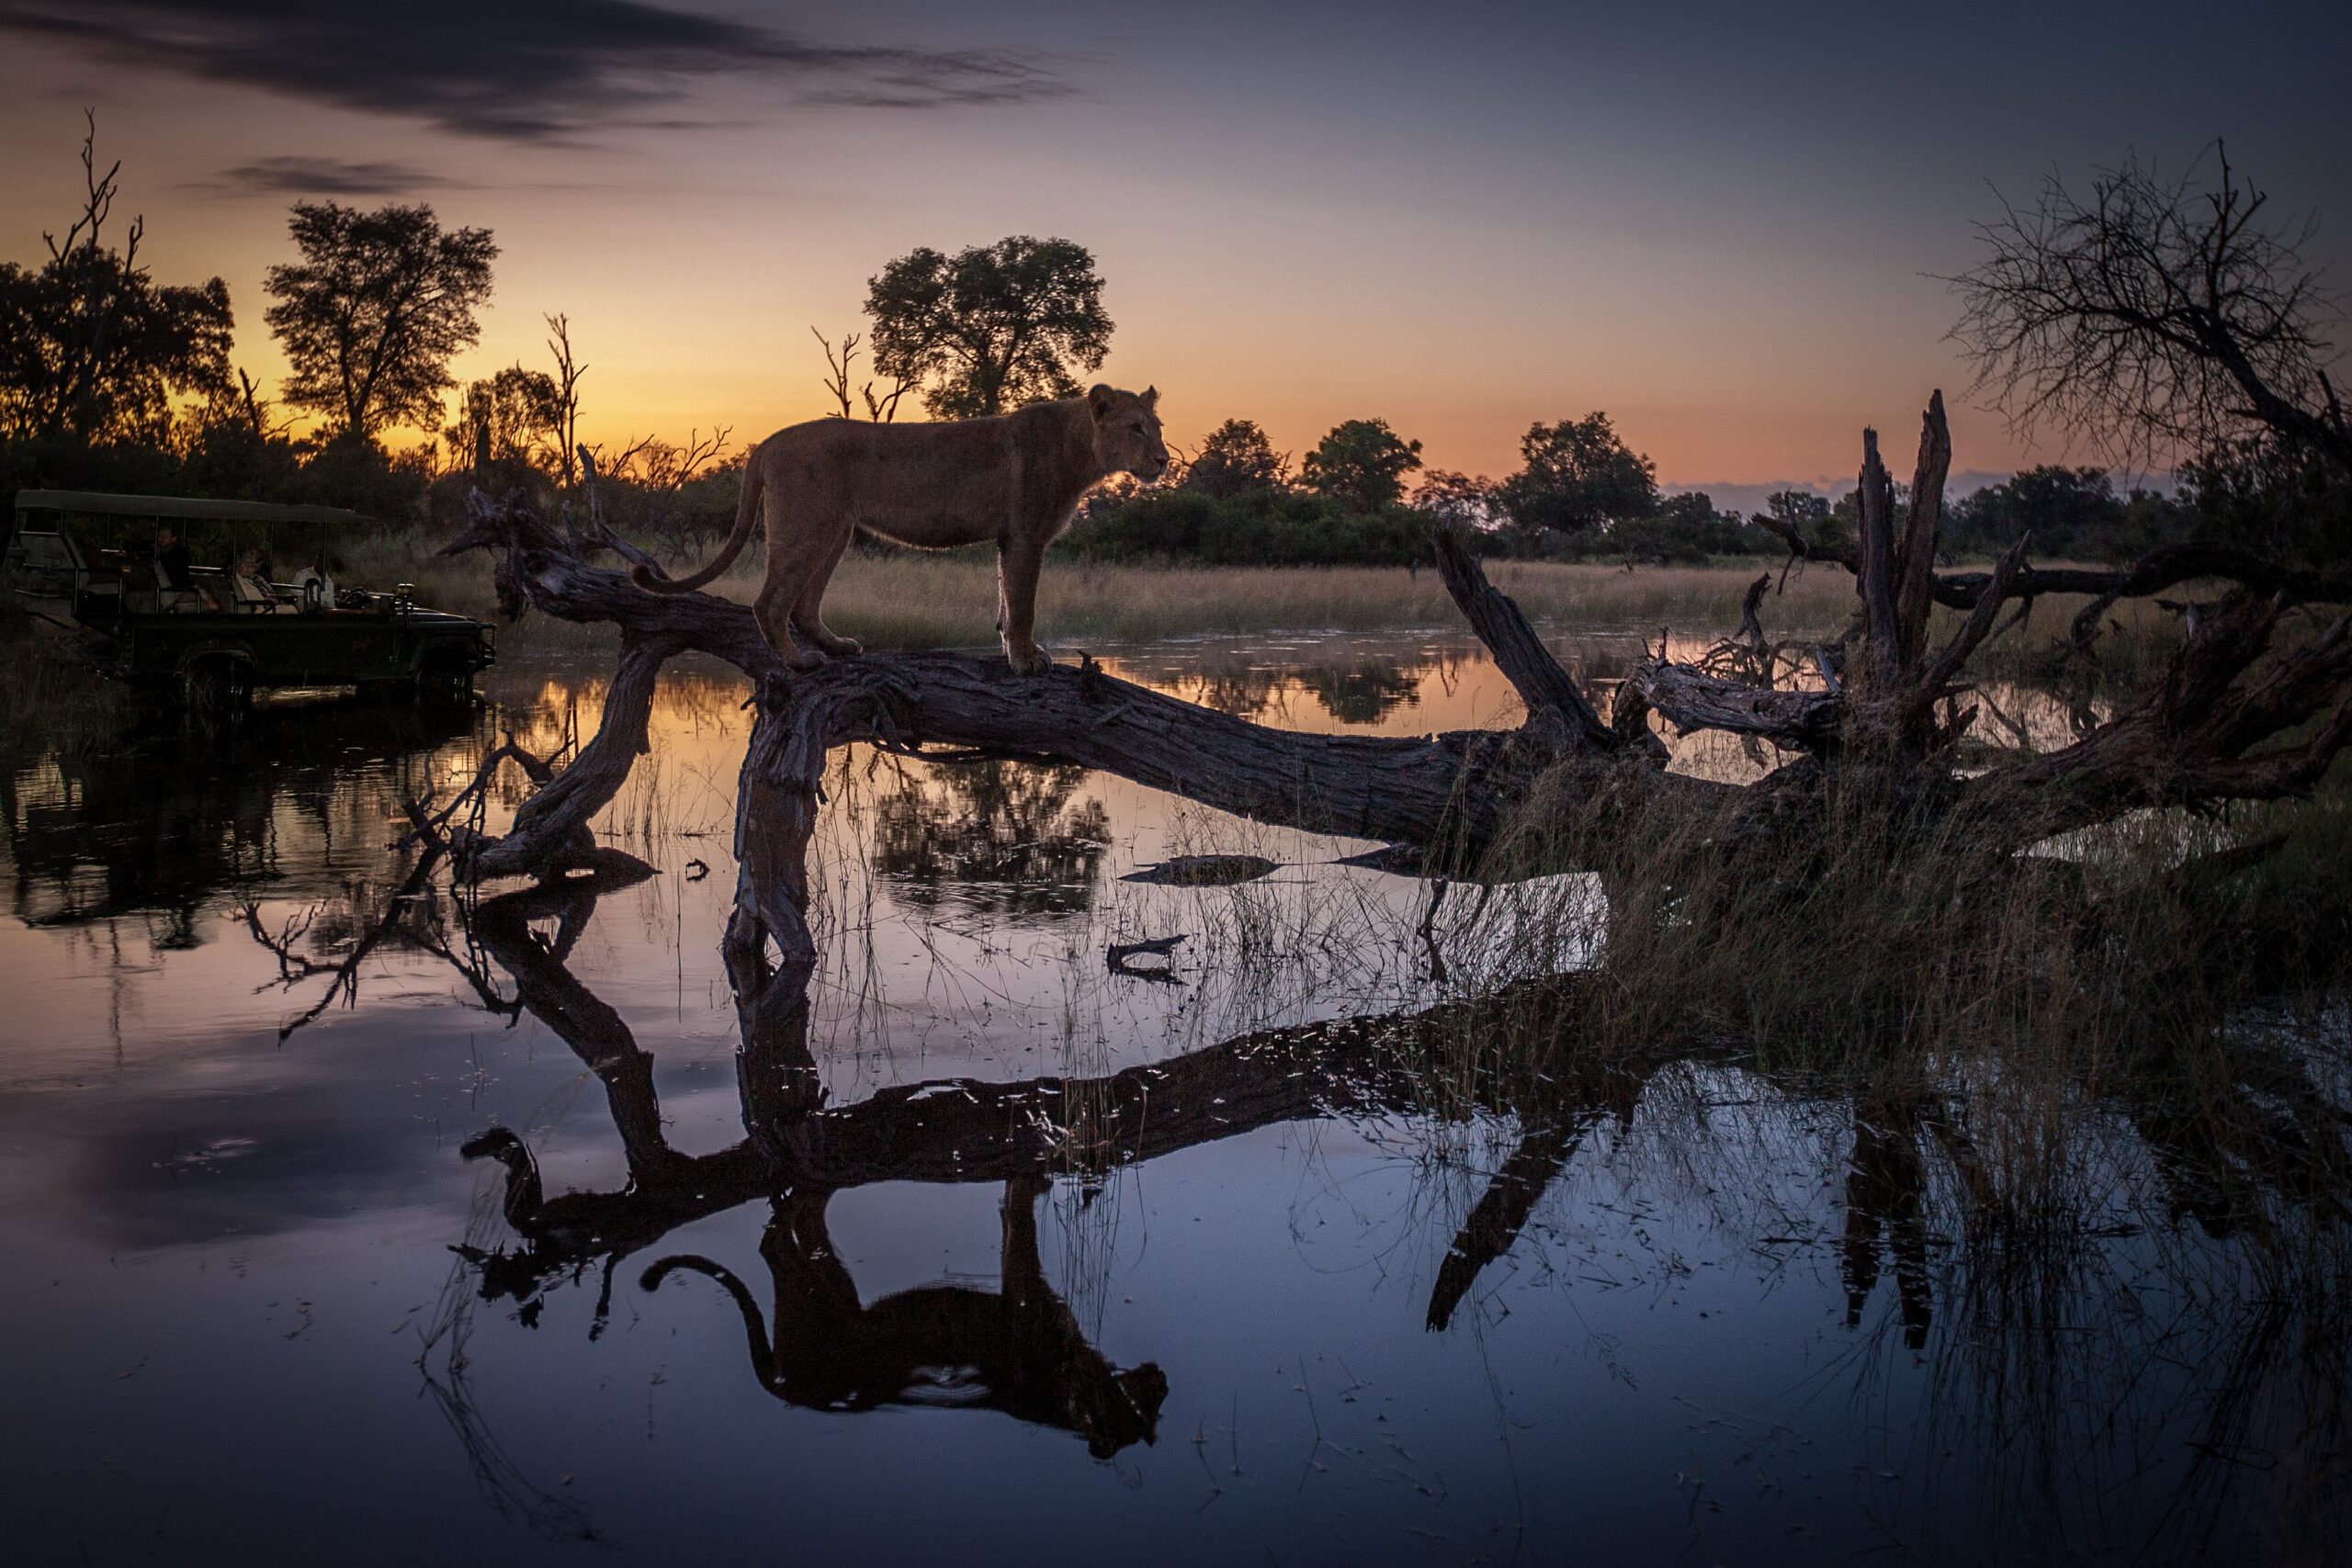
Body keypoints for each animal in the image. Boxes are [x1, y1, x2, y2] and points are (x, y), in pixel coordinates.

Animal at [631, 384, 1169, 673]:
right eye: (1136, 428)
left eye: (1158, 427)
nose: (1165, 460)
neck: (1081, 448)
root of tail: (769, 441)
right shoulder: (1025, 535)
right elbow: (1023, 606)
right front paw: (1026, 660)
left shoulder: (1009, 539)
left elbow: (1005, 600)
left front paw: (1015, 652)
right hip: (809, 527)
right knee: (770, 602)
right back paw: (799, 662)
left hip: (836, 531)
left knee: (804, 605)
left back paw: (838, 647)